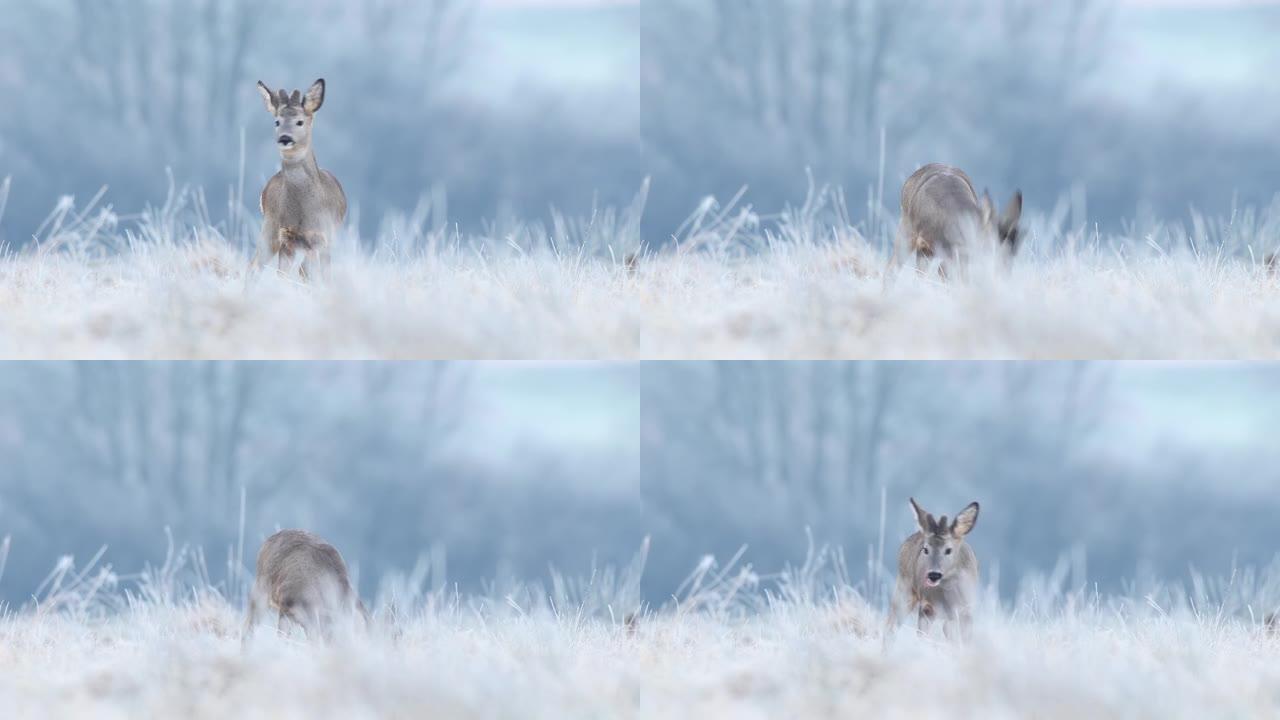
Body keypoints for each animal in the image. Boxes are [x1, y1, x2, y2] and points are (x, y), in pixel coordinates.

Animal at [250, 78, 348, 279]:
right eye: (277, 121)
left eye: (300, 122)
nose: (285, 138)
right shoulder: (287, 236)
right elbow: (285, 274)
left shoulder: (322, 236)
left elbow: (315, 274)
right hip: (270, 226)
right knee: (255, 265)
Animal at [885, 491, 983, 638]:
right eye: (925, 549)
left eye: (948, 550)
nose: (933, 574)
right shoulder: (927, 606)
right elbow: (922, 636)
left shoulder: (966, 609)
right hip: (904, 589)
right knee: (891, 624)